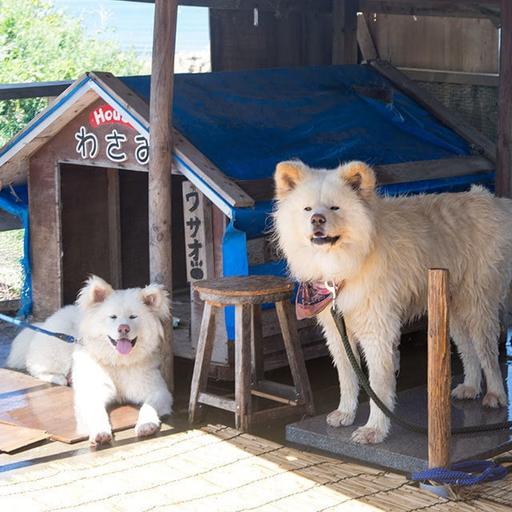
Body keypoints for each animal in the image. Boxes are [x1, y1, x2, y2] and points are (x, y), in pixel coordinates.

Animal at [7, 276, 173, 444]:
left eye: (133, 316)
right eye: (113, 317)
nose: (123, 328)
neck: (117, 362)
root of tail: (44, 323)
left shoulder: (158, 390)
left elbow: (148, 407)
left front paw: (147, 425)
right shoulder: (93, 392)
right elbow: (97, 414)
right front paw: (100, 432)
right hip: (56, 355)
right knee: (35, 367)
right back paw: (60, 379)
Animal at [274, 159, 510, 444]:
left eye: (334, 207)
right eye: (307, 208)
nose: (316, 219)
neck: (345, 262)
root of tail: (492, 201)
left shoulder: (377, 330)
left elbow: (378, 383)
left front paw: (374, 429)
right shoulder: (337, 330)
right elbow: (347, 375)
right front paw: (345, 414)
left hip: (476, 304)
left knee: (487, 352)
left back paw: (495, 395)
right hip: (452, 309)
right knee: (468, 350)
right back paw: (471, 387)